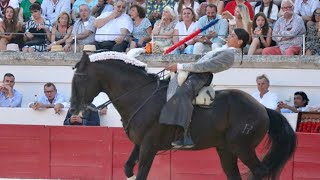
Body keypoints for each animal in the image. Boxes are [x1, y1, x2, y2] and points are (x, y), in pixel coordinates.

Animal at [70, 51, 298, 179]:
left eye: (80, 77)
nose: (72, 109)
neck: (141, 95)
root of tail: (262, 109)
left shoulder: (149, 146)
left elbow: (141, 173)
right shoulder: (140, 144)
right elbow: (127, 168)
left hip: (243, 148)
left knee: (259, 172)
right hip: (226, 150)